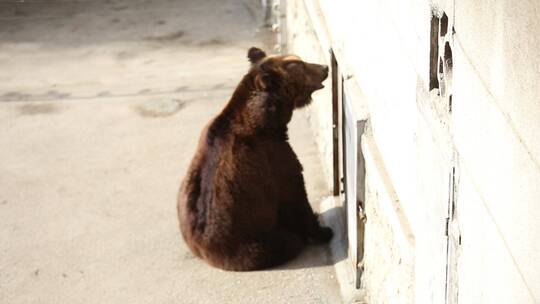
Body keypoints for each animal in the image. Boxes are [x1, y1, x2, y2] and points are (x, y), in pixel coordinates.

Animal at [177, 47, 332, 270]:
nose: (325, 67)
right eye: (299, 65)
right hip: (255, 243)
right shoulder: (274, 157)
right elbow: (295, 194)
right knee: (287, 241)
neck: (267, 121)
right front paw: (324, 230)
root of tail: (208, 254)